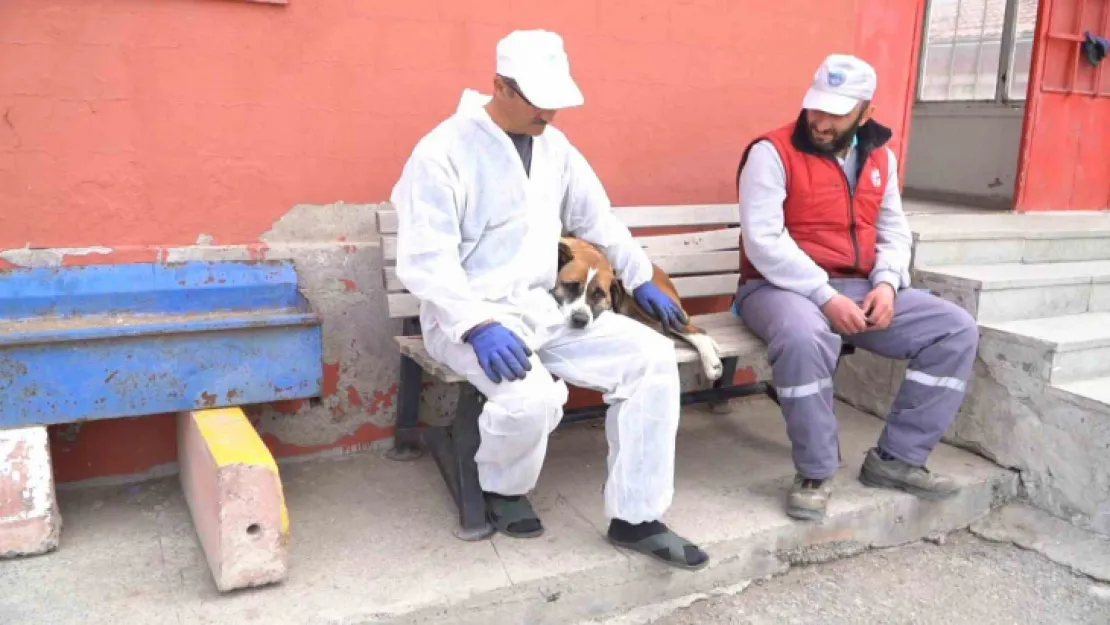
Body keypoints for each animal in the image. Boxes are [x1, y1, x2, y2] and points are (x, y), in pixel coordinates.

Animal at [550, 236, 723, 379]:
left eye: (599, 294)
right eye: (570, 286)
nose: (580, 319)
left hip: (648, 305)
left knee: (695, 330)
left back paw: (711, 363)